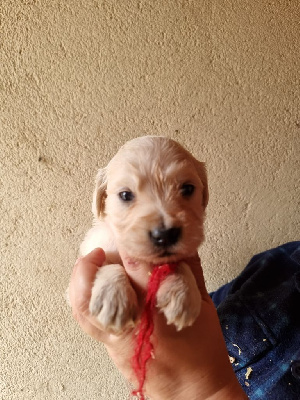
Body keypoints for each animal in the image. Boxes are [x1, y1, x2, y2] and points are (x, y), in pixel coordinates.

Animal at [79, 136, 209, 332]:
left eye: (187, 188)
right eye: (125, 195)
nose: (165, 235)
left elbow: (179, 262)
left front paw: (183, 293)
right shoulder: (94, 247)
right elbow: (108, 262)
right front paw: (113, 296)